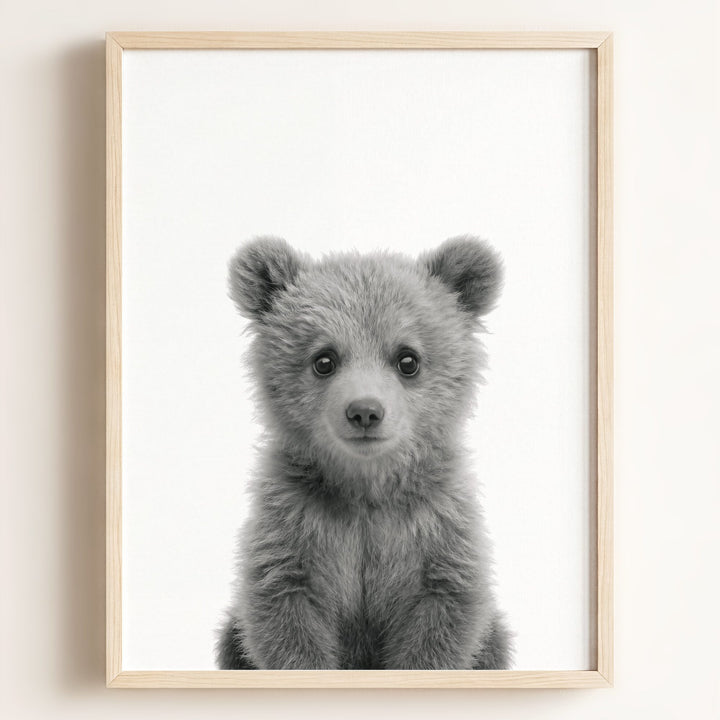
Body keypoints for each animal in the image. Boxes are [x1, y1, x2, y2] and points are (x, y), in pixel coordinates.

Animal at [217, 235, 512, 670]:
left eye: (408, 359)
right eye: (324, 359)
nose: (365, 411)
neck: (366, 489)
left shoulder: (435, 529)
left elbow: (441, 620)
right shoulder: (294, 526)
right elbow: (285, 617)